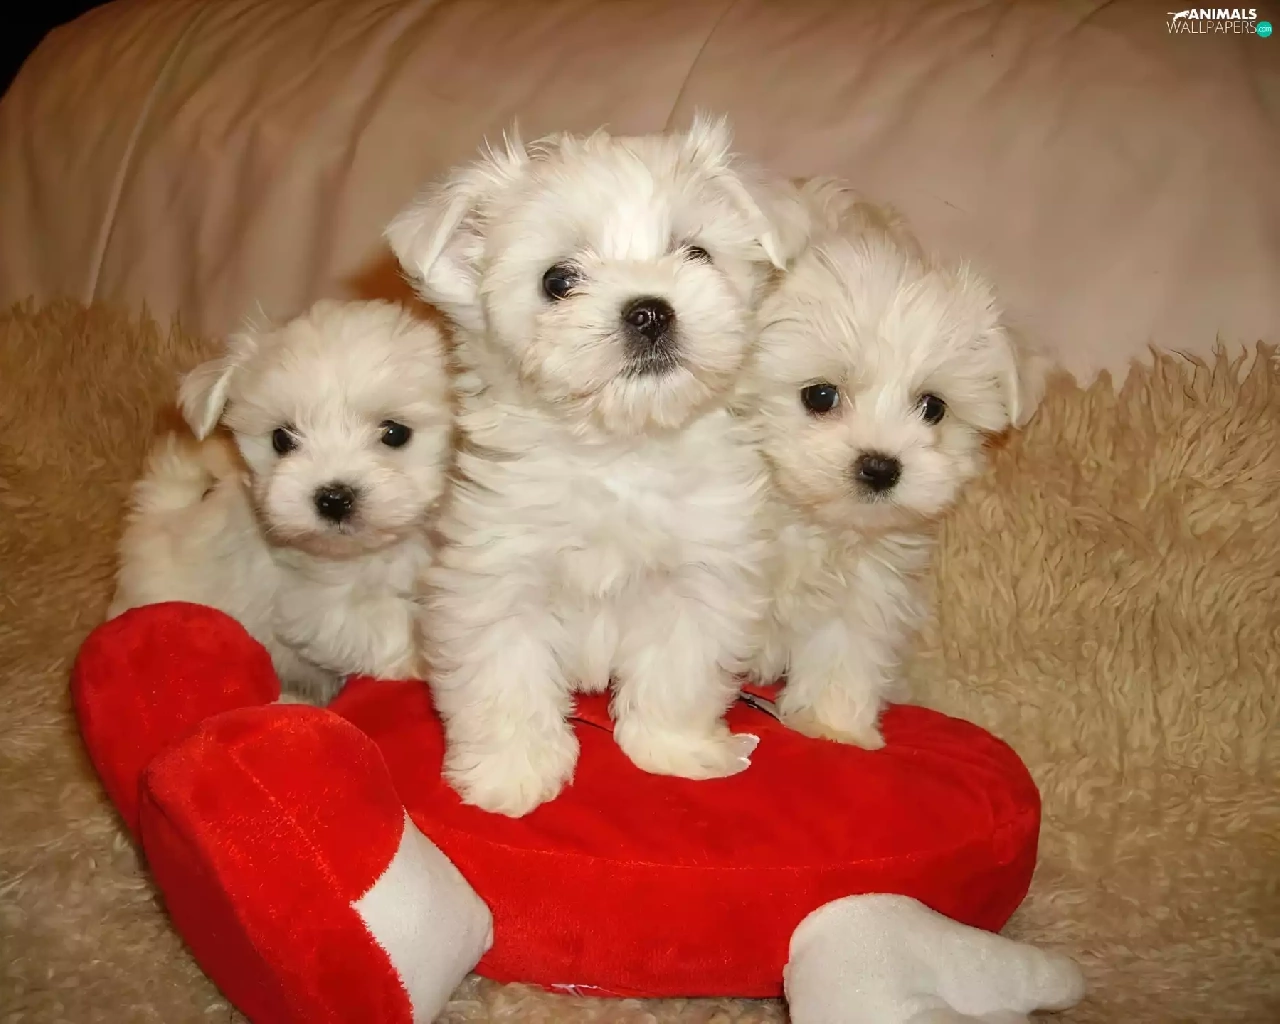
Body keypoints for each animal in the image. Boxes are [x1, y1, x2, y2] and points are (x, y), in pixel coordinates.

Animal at [109, 299, 454, 703]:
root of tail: (156, 516)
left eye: (395, 433)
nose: (334, 498)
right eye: (282, 439)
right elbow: (390, 621)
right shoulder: (314, 606)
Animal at [385, 115, 812, 816]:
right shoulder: (495, 575)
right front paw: (514, 773)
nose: (650, 309)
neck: (618, 450)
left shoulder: (701, 575)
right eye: (558, 281)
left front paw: (674, 749)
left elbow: (680, 668)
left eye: (696, 253)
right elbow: (505, 675)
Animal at [741, 180, 1046, 747]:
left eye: (933, 407)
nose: (881, 467)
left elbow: (846, 652)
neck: (804, 521)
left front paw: (834, 729)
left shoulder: (868, 586)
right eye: (820, 395)